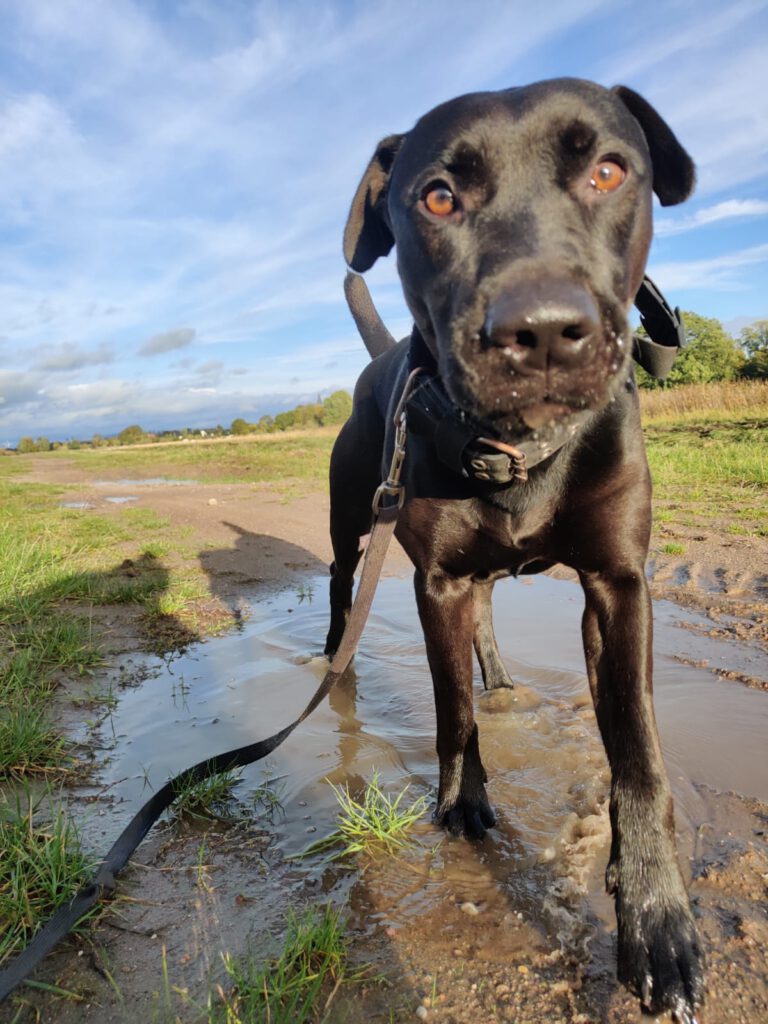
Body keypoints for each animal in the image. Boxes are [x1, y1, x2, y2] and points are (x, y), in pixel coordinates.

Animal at [325, 75, 704, 1019]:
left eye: (608, 171)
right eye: (436, 197)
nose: (541, 331)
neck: (518, 447)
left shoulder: (619, 584)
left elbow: (638, 756)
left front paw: (657, 917)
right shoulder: (436, 583)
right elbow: (449, 706)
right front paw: (463, 803)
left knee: (491, 625)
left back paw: (502, 678)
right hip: (355, 522)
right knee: (343, 591)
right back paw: (336, 660)